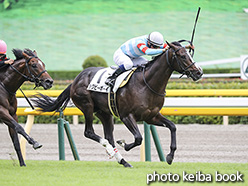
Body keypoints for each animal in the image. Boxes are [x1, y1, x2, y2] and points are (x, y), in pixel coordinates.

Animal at [33, 41, 203, 168]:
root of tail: (76, 79)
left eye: (190, 54)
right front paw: (124, 144)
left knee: (108, 136)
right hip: (87, 107)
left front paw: (169, 156)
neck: (147, 84)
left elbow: (173, 127)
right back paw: (115, 152)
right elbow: (138, 138)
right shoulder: (126, 116)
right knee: (90, 132)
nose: (199, 72)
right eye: (182, 56)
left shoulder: (151, 116)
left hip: (105, 113)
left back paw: (122, 160)